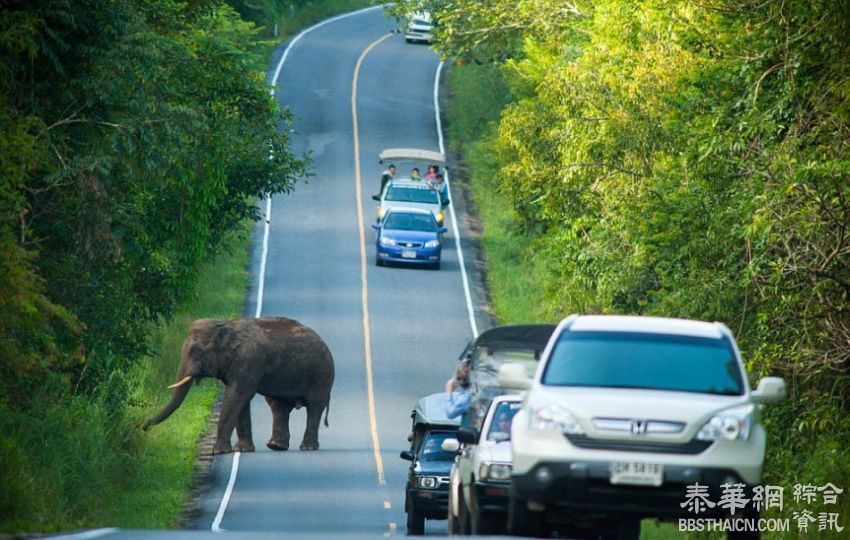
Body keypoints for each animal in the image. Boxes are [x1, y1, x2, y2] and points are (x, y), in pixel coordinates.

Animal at [142, 318, 334, 454]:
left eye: (197, 351)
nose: (142, 426)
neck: (227, 325)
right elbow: (240, 401)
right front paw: (242, 450)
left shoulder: (248, 362)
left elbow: (237, 396)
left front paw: (219, 452)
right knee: (278, 406)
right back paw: (275, 446)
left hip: (321, 375)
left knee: (314, 406)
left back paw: (307, 448)